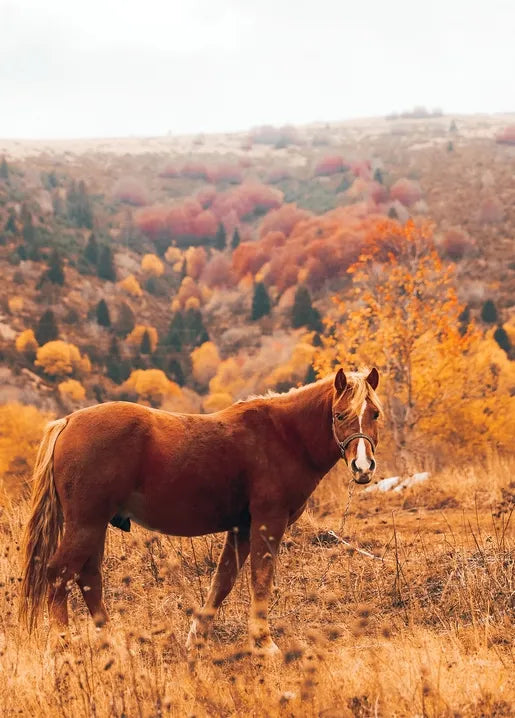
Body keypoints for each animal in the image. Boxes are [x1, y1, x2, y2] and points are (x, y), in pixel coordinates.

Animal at [20, 367, 381, 655]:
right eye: (340, 415)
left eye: (374, 413)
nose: (363, 467)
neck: (283, 435)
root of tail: (67, 421)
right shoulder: (268, 522)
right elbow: (259, 580)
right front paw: (264, 643)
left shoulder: (242, 528)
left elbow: (223, 580)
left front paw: (197, 637)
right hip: (86, 524)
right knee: (59, 574)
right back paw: (62, 643)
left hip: (94, 526)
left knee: (88, 577)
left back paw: (111, 642)